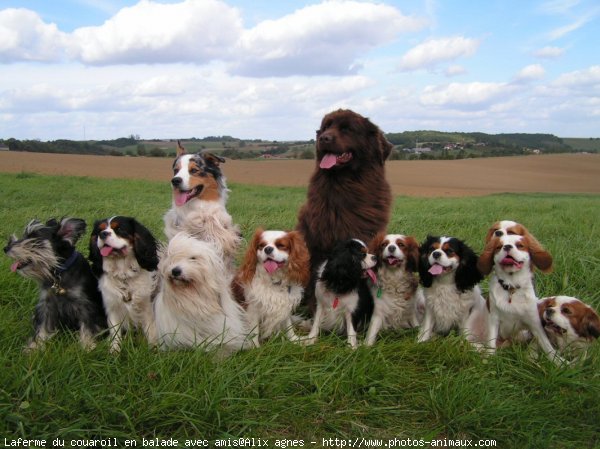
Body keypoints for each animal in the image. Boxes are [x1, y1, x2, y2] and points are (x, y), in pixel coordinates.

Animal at [4, 217, 106, 350]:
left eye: (35, 238)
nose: (6, 248)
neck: (58, 272)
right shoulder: (47, 305)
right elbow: (42, 326)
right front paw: (35, 346)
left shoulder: (85, 305)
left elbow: (88, 325)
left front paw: (88, 345)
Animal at [88, 217, 159, 354]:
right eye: (99, 230)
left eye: (119, 229)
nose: (102, 234)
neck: (123, 274)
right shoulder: (112, 307)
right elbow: (115, 331)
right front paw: (114, 351)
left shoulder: (146, 306)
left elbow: (151, 329)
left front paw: (154, 349)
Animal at [296, 108, 394, 312]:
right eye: (326, 127)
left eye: (347, 129)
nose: (323, 138)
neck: (347, 185)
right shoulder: (321, 240)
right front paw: (315, 307)